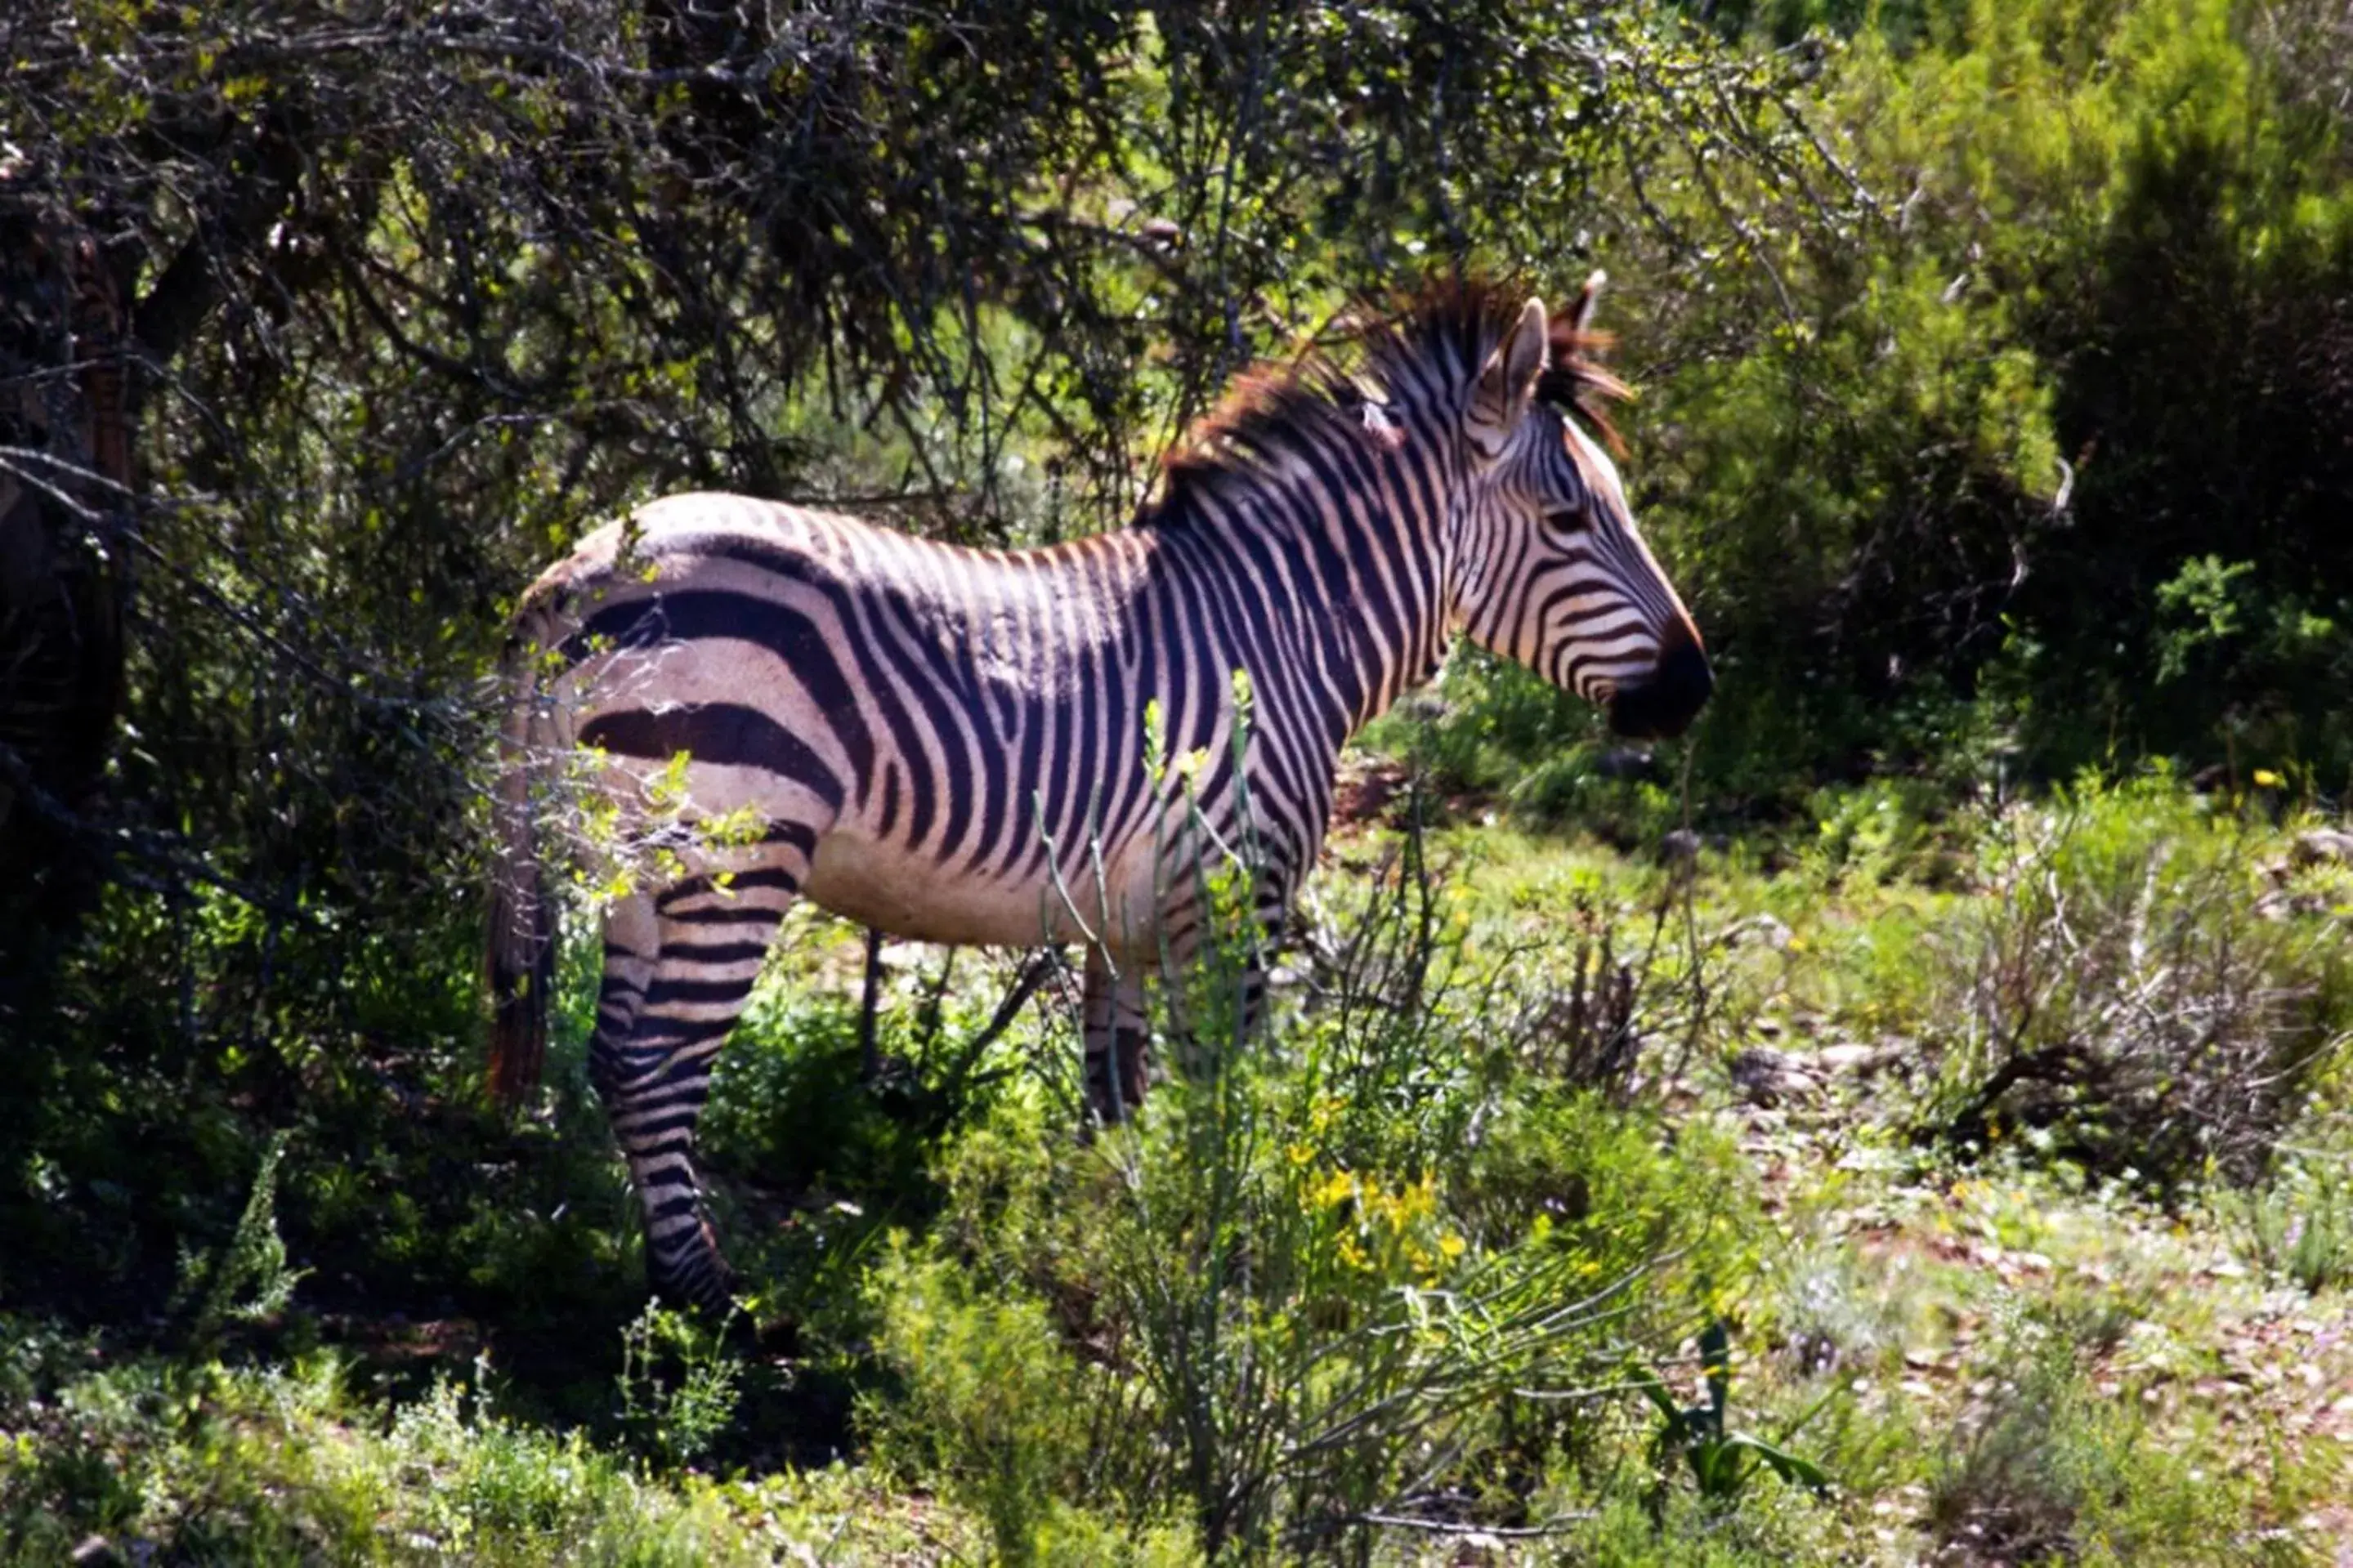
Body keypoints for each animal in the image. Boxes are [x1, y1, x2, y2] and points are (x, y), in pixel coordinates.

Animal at [496, 276, 1712, 1307]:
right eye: (1569, 521)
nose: (1696, 688)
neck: (1281, 632)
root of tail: (575, 573)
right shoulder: (1234, 891)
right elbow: (1215, 1105)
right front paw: (1217, 1280)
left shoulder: (1128, 918)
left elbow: (1117, 1099)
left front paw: (1112, 1251)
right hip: (733, 854)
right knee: (659, 1065)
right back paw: (704, 1297)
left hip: (630, 864)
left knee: (613, 1054)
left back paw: (643, 1264)